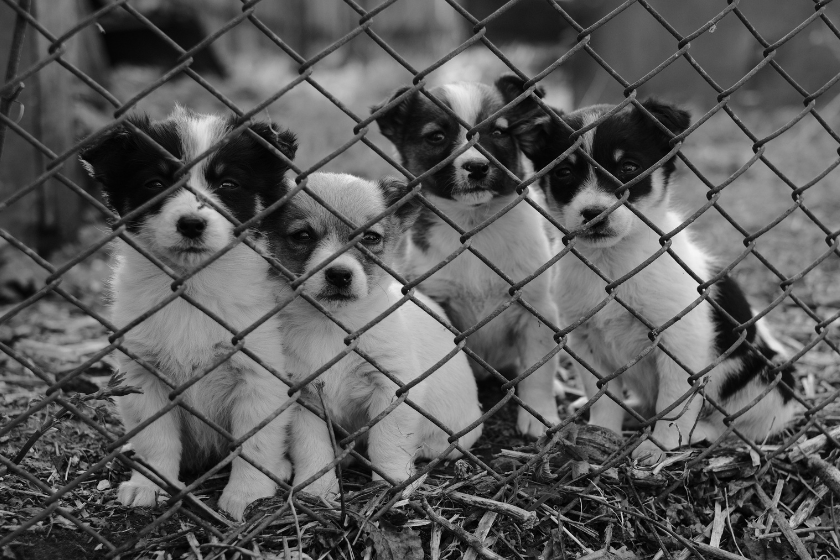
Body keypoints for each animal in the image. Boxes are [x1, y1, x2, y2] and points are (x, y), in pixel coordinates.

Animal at [79, 107, 302, 520]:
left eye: (228, 183)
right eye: (154, 183)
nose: (192, 224)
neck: (192, 286)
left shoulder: (259, 373)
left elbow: (255, 441)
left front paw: (247, 494)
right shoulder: (144, 375)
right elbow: (156, 438)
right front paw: (149, 485)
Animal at [370, 73, 560, 438]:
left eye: (499, 133)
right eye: (436, 136)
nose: (476, 166)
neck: (474, 228)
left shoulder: (536, 308)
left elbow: (538, 373)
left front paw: (539, 416)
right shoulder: (437, 300)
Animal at [512, 99, 800, 464]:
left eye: (628, 167)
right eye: (563, 172)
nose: (594, 213)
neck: (613, 262)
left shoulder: (682, 340)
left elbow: (673, 402)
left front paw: (660, 445)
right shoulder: (584, 340)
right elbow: (604, 396)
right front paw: (603, 431)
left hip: (768, 380)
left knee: (743, 425)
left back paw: (704, 432)